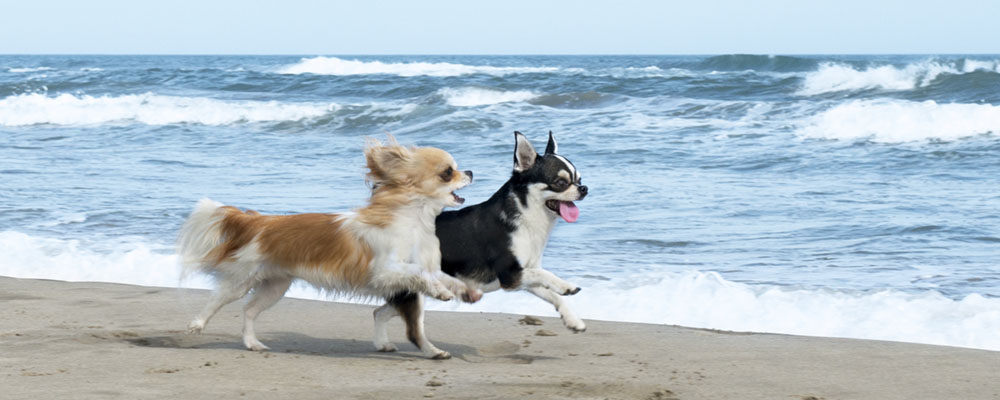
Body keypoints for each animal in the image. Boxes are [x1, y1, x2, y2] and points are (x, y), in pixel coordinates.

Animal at [179, 138, 480, 360]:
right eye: (447, 172)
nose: (470, 171)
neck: (414, 221)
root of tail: (260, 221)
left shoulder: (413, 270)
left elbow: (442, 277)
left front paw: (465, 290)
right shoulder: (383, 271)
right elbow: (419, 272)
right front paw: (440, 291)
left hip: (275, 287)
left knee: (250, 310)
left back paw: (252, 343)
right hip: (242, 280)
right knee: (217, 300)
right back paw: (197, 324)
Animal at [376, 132, 592, 356]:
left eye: (579, 179)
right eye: (560, 182)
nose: (584, 188)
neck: (528, 217)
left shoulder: (523, 276)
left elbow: (553, 294)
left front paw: (572, 320)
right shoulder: (511, 275)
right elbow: (545, 275)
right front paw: (565, 285)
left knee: (379, 312)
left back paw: (383, 343)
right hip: (416, 290)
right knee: (412, 330)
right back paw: (434, 352)